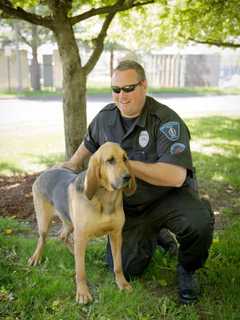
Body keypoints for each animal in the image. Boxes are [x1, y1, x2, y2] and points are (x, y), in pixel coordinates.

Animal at [28, 143, 136, 304]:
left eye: (125, 158)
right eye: (110, 160)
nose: (127, 177)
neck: (105, 197)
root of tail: (45, 172)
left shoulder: (116, 235)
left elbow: (118, 265)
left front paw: (122, 283)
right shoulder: (81, 235)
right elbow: (80, 271)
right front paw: (83, 293)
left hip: (69, 223)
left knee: (62, 236)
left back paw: (72, 250)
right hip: (44, 221)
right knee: (42, 239)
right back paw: (36, 257)